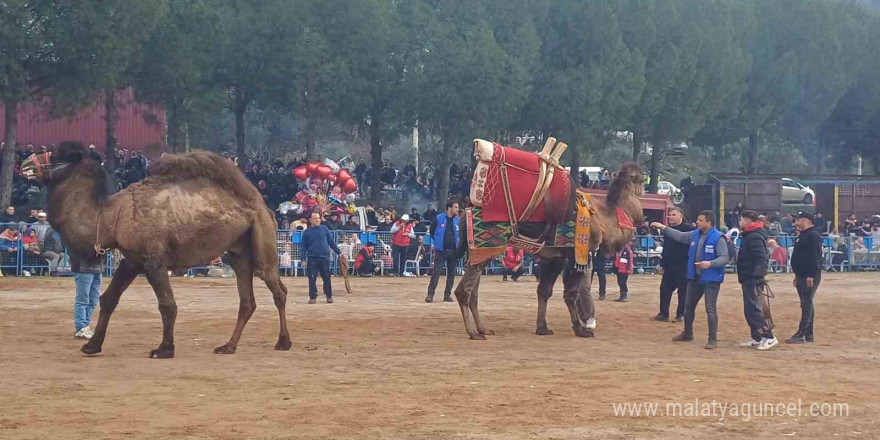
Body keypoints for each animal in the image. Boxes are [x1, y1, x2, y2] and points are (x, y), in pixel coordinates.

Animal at [21, 143, 292, 360]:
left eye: (54, 154)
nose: (25, 164)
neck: (109, 218)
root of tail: (262, 206)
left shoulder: (154, 261)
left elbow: (167, 305)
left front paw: (164, 349)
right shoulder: (131, 260)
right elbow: (108, 299)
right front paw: (92, 346)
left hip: (262, 239)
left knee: (277, 288)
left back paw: (283, 342)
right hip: (238, 251)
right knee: (247, 301)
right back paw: (228, 346)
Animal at [454, 139, 640, 338]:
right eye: (641, 178)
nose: (642, 188)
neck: (604, 218)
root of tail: (465, 213)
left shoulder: (555, 258)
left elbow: (544, 290)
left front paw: (542, 328)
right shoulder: (575, 255)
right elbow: (571, 294)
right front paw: (580, 329)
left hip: (478, 252)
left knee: (474, 292)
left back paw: (484, 328)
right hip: (484, 247)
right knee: (463, 291)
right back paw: (474, 333)